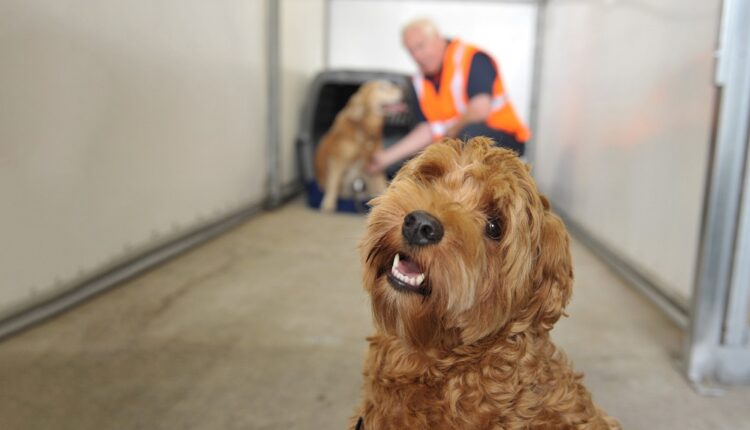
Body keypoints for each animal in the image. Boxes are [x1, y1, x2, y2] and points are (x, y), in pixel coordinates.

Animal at [312, 80, 402, 212]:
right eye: (382, 87)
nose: (402, 89)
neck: (364, 128)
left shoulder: (373, 164)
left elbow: (381, 185)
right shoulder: (337, 160)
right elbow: (333, 183)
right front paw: (328, 203)